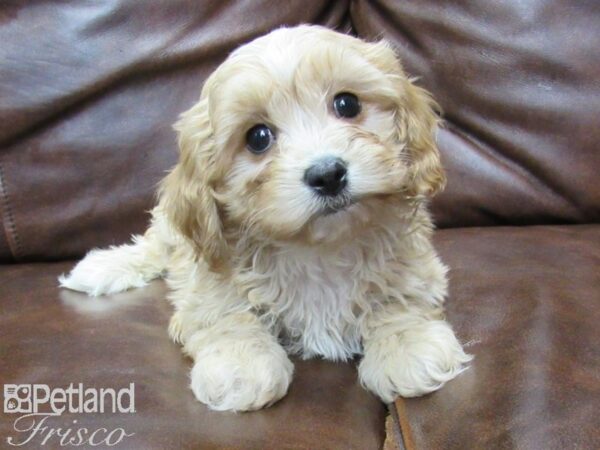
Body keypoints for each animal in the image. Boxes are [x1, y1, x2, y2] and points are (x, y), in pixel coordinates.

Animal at [61, 24, 474, 412]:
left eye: (347, 103)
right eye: (258, 137)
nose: (328, 174)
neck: (319, 249)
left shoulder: (415, 264)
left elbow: (402, 297)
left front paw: (408, 343)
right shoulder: (209, 277)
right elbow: (224, 313)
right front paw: (240, 366)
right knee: (154, 245)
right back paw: (101, 268)